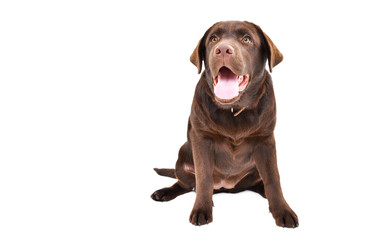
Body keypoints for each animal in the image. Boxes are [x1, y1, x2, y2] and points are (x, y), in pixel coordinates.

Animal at [151, 20, 298, 227]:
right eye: (213, 39)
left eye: (246, 39)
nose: (222, 50)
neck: (233, 109)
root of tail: (225, 187)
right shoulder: (201, 138)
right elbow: (203, 178)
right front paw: (201, 209)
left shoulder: (265, 140)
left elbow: (273, 179)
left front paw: (282, 210)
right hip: (182, 155)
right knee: (185, 184)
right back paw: (164, 192)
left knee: (261, 184)